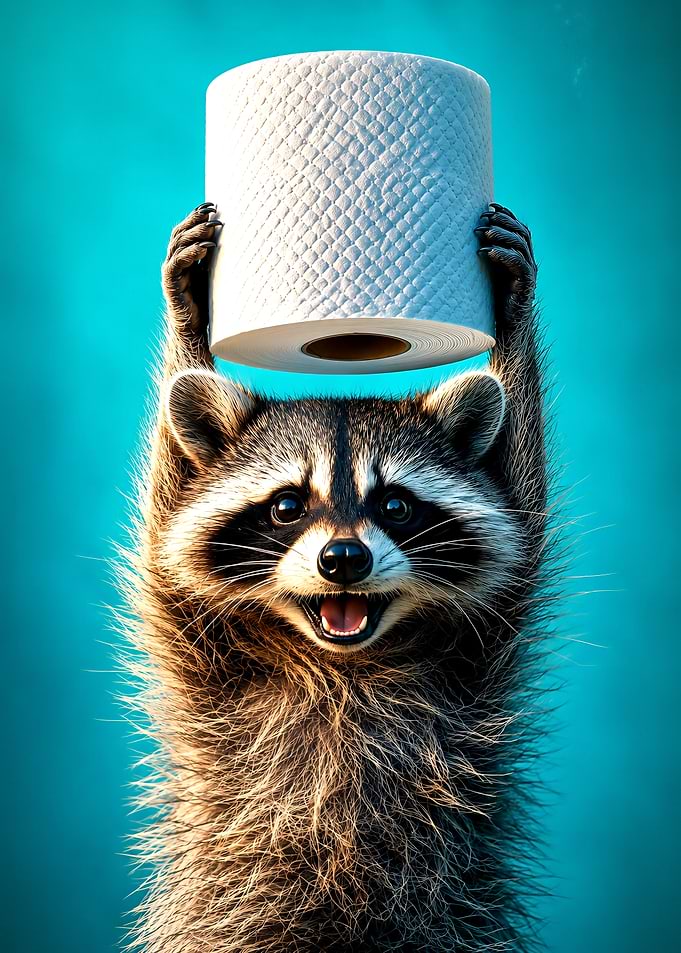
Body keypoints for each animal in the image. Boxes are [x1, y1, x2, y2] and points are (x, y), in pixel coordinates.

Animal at [120, 201, 550, 952]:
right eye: (288, 506)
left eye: (396, 506)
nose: (343, 560)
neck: (341, 662)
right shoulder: (191, 641)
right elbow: (167, 513)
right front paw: (187, 316)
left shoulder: (481, 646)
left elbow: (520, 505)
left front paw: (512, 310)